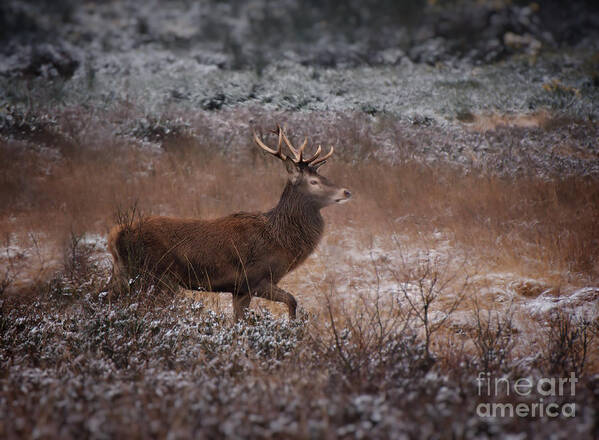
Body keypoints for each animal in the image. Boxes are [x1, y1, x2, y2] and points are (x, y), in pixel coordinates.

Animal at [108, 125, 352, 322]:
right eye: (314, 182)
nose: (346, 191)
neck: (280, 240)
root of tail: (115, 236)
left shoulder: (238, 289)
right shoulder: (253, 279)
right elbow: (292, 301)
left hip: (125, 273)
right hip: (155, 275)